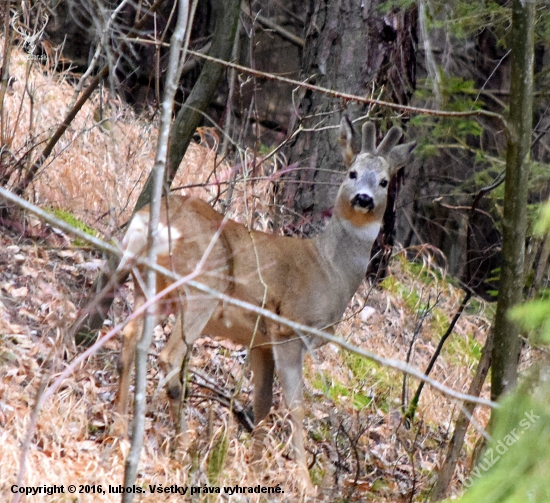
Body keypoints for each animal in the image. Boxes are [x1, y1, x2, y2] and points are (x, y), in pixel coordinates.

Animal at [114, 116, 416, 490]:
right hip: (202, 287)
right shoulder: (289, 329)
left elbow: (262, 402)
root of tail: (146, 220)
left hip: (151, 287)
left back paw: (118, 427)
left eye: (385, 181)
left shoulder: (260, 341)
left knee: (128, 339)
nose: (363, 198)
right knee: (169, 358)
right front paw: (303, 481)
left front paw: (257, 467)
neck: (329, 271)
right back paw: (183, 446)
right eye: (352, 173)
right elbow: (295, 406)